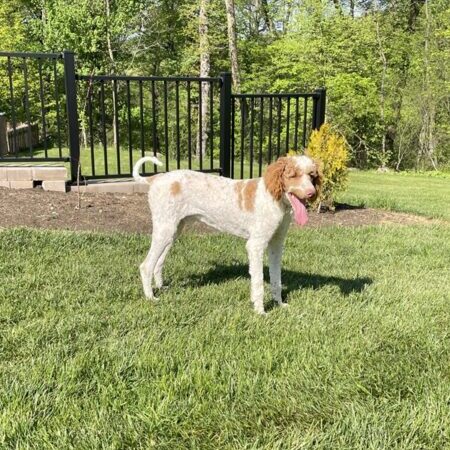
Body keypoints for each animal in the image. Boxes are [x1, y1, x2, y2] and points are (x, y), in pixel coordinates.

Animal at [132, 156, 322, 314]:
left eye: (311, 175)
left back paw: (161, 287)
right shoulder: (255, 245)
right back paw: (150, 297)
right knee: (146, 266)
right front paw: (260, 311)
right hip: (165, 230)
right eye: (293, 175)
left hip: (172, 231)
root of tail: (156, 178)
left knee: (158, 263)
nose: (311, 193)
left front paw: (279, 304)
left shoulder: (276, 244)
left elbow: (276, 279)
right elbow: (259, 281)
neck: (274, 199)